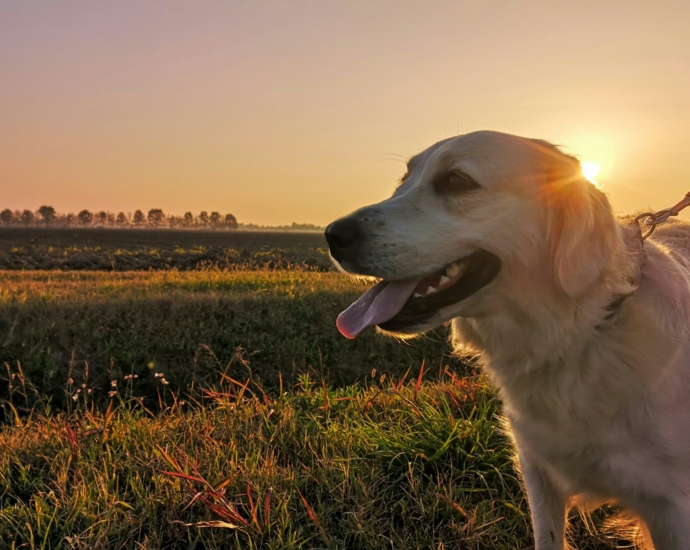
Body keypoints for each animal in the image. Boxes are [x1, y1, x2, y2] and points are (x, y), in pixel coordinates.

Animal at [326, 132, 688, 548]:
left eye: (456, 181)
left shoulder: (673, 507)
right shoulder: (539, 473)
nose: (333, 235)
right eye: (403, 181)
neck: (579, 336)